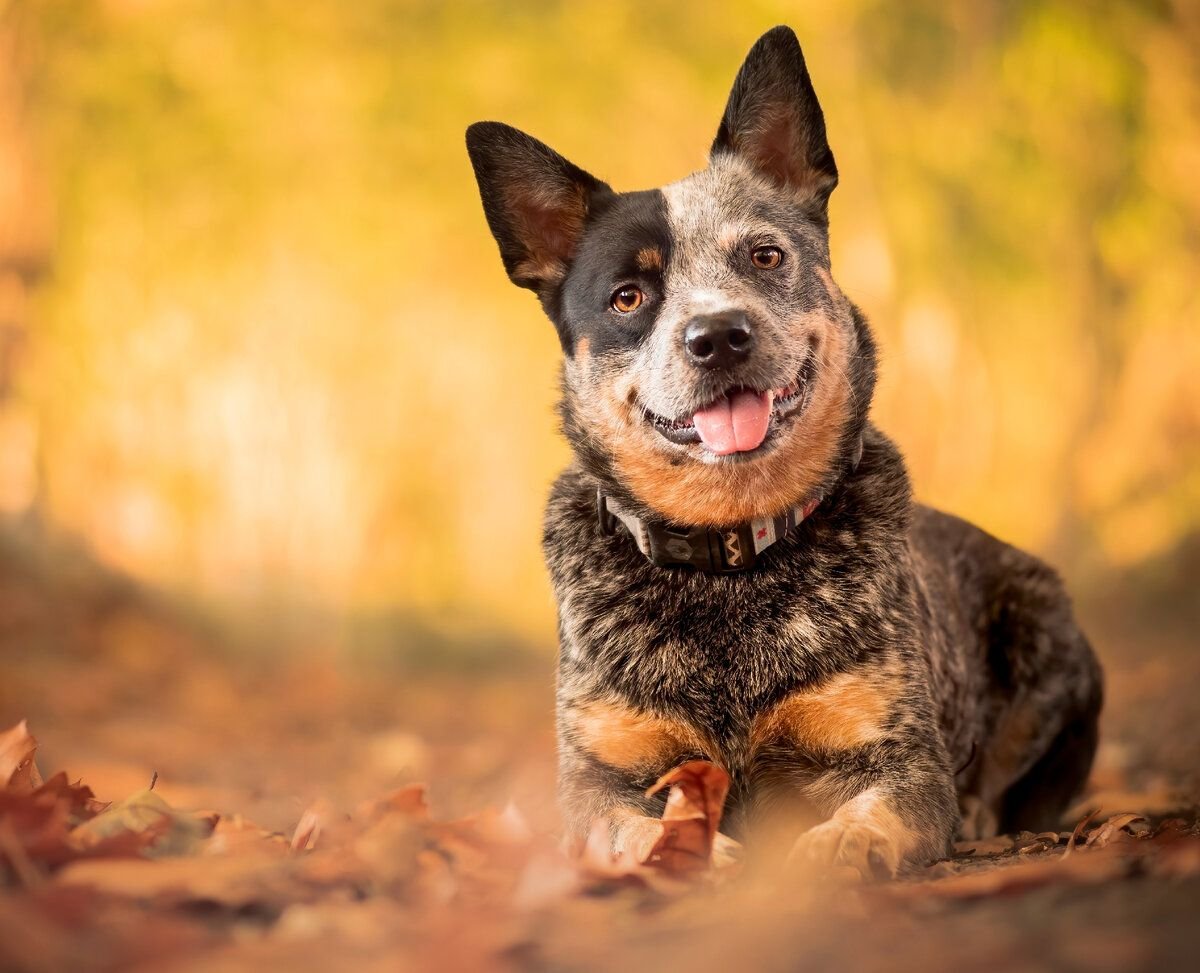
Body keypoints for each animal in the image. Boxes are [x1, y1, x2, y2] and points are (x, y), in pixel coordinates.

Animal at [463, 24, 1099, 873]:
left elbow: (881, 807)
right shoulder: (601, 775)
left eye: (763, 255)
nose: (717, 335)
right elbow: (626, 825)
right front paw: (687, 850)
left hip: (1045, 628)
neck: (728, 558)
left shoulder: (896, 753)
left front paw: (842, 844)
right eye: (628, 297)